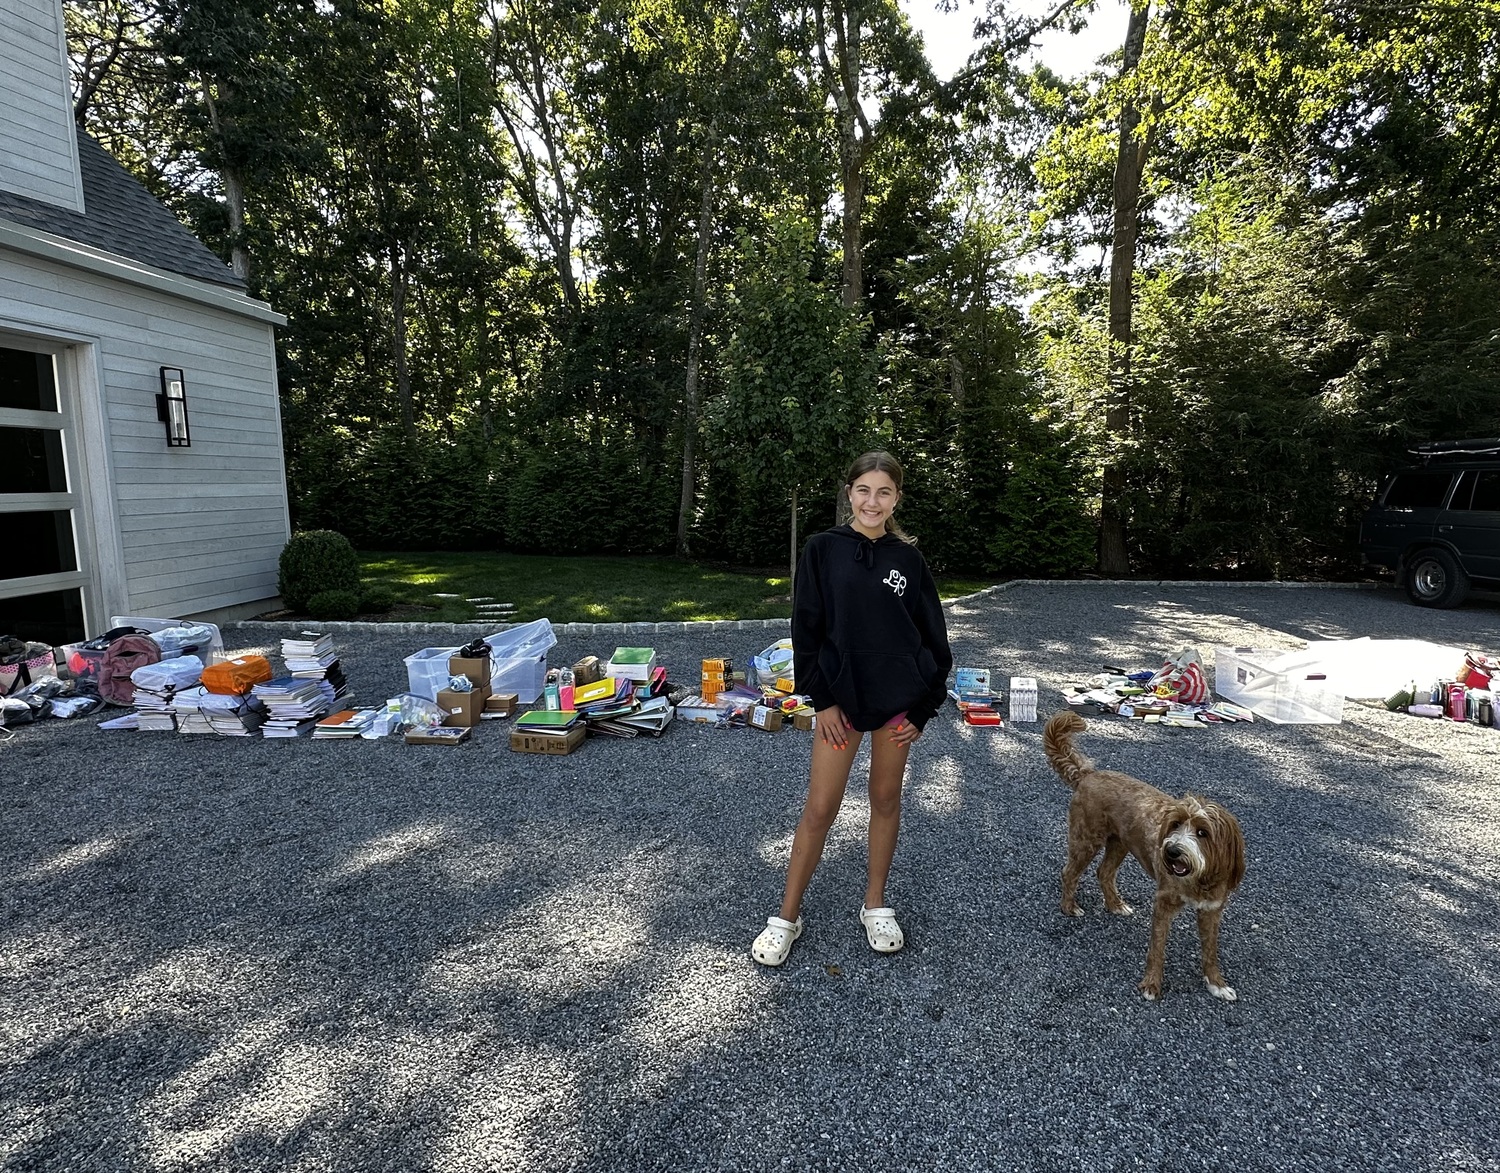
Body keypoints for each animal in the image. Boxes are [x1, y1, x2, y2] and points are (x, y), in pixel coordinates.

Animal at [1044, 711, 1242, 1008]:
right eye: (1175, 824)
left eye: (1202, 832)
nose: (1172, 851)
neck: (1199, 879)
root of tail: (1088, 775)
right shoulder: (1163, 904)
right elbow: (1157, 948)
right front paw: (1151, 984)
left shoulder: (1211, 911)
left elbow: (1210, 952)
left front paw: (1216, 984)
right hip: (1086, 841)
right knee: (1069, 873)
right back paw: (1069, 907)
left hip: (1119, 844)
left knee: (1104, 873)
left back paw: (1115, 905)